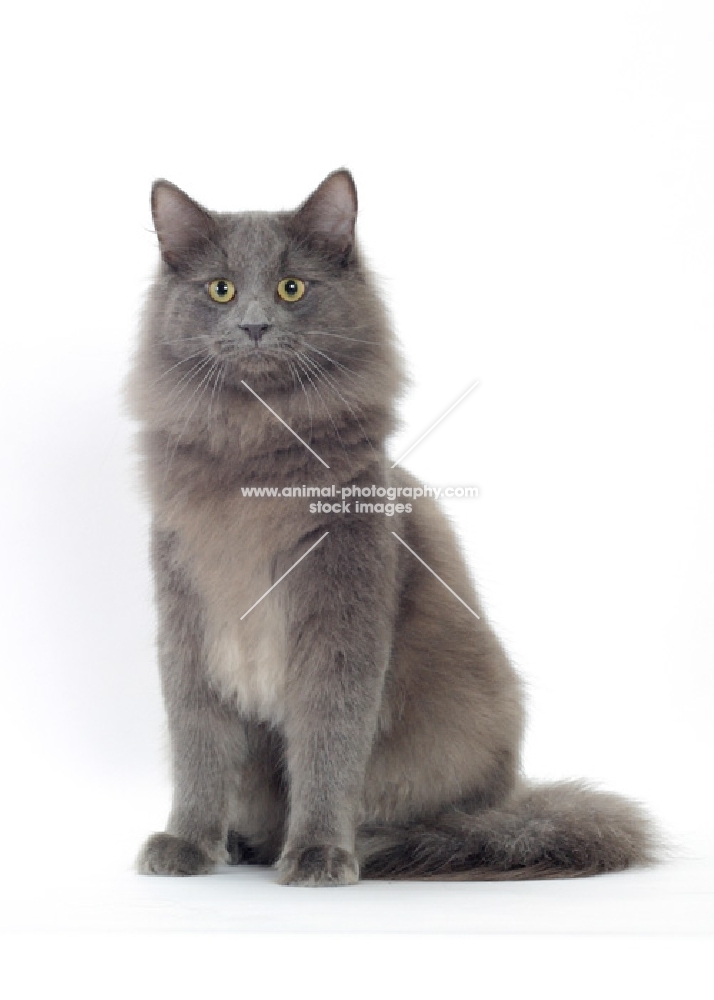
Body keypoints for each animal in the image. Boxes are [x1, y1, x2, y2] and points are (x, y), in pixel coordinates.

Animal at [128, 170, 656, 884]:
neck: (255, 450)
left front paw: (319, 853)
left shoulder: (340, 619)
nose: (255, 325)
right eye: (221, 289)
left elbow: (329, 744)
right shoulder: (188, 623)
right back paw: (243, 842)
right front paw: (187, 842)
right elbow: (199, 748)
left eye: (292, 287)